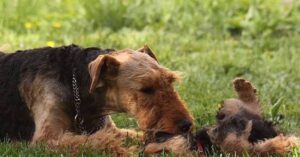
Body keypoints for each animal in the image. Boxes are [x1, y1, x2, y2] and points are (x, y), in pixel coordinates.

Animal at [0, 44, 192, 155]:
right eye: (145, 89)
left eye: (170, 80)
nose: (186, 125)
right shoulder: (46, 139)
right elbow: (96, 141)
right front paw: (126, 150)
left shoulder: (111, 129)